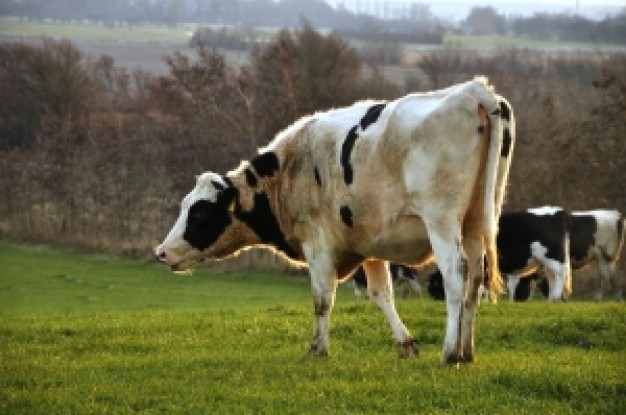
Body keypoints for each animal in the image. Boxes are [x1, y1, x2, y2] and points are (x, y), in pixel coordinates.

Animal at [155, 77, 512, 364]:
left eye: (200, 212)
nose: (161, 252)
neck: (288, 171)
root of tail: (472, 91)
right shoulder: (370, 243)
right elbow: (381, 295)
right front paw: (406, 344)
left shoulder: (317, 243)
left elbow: (322, 298)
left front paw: (318, 349)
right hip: (476, 222)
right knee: (475, 279)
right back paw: (466, 351)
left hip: (442, 220)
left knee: (455, 274)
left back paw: (450, 352)